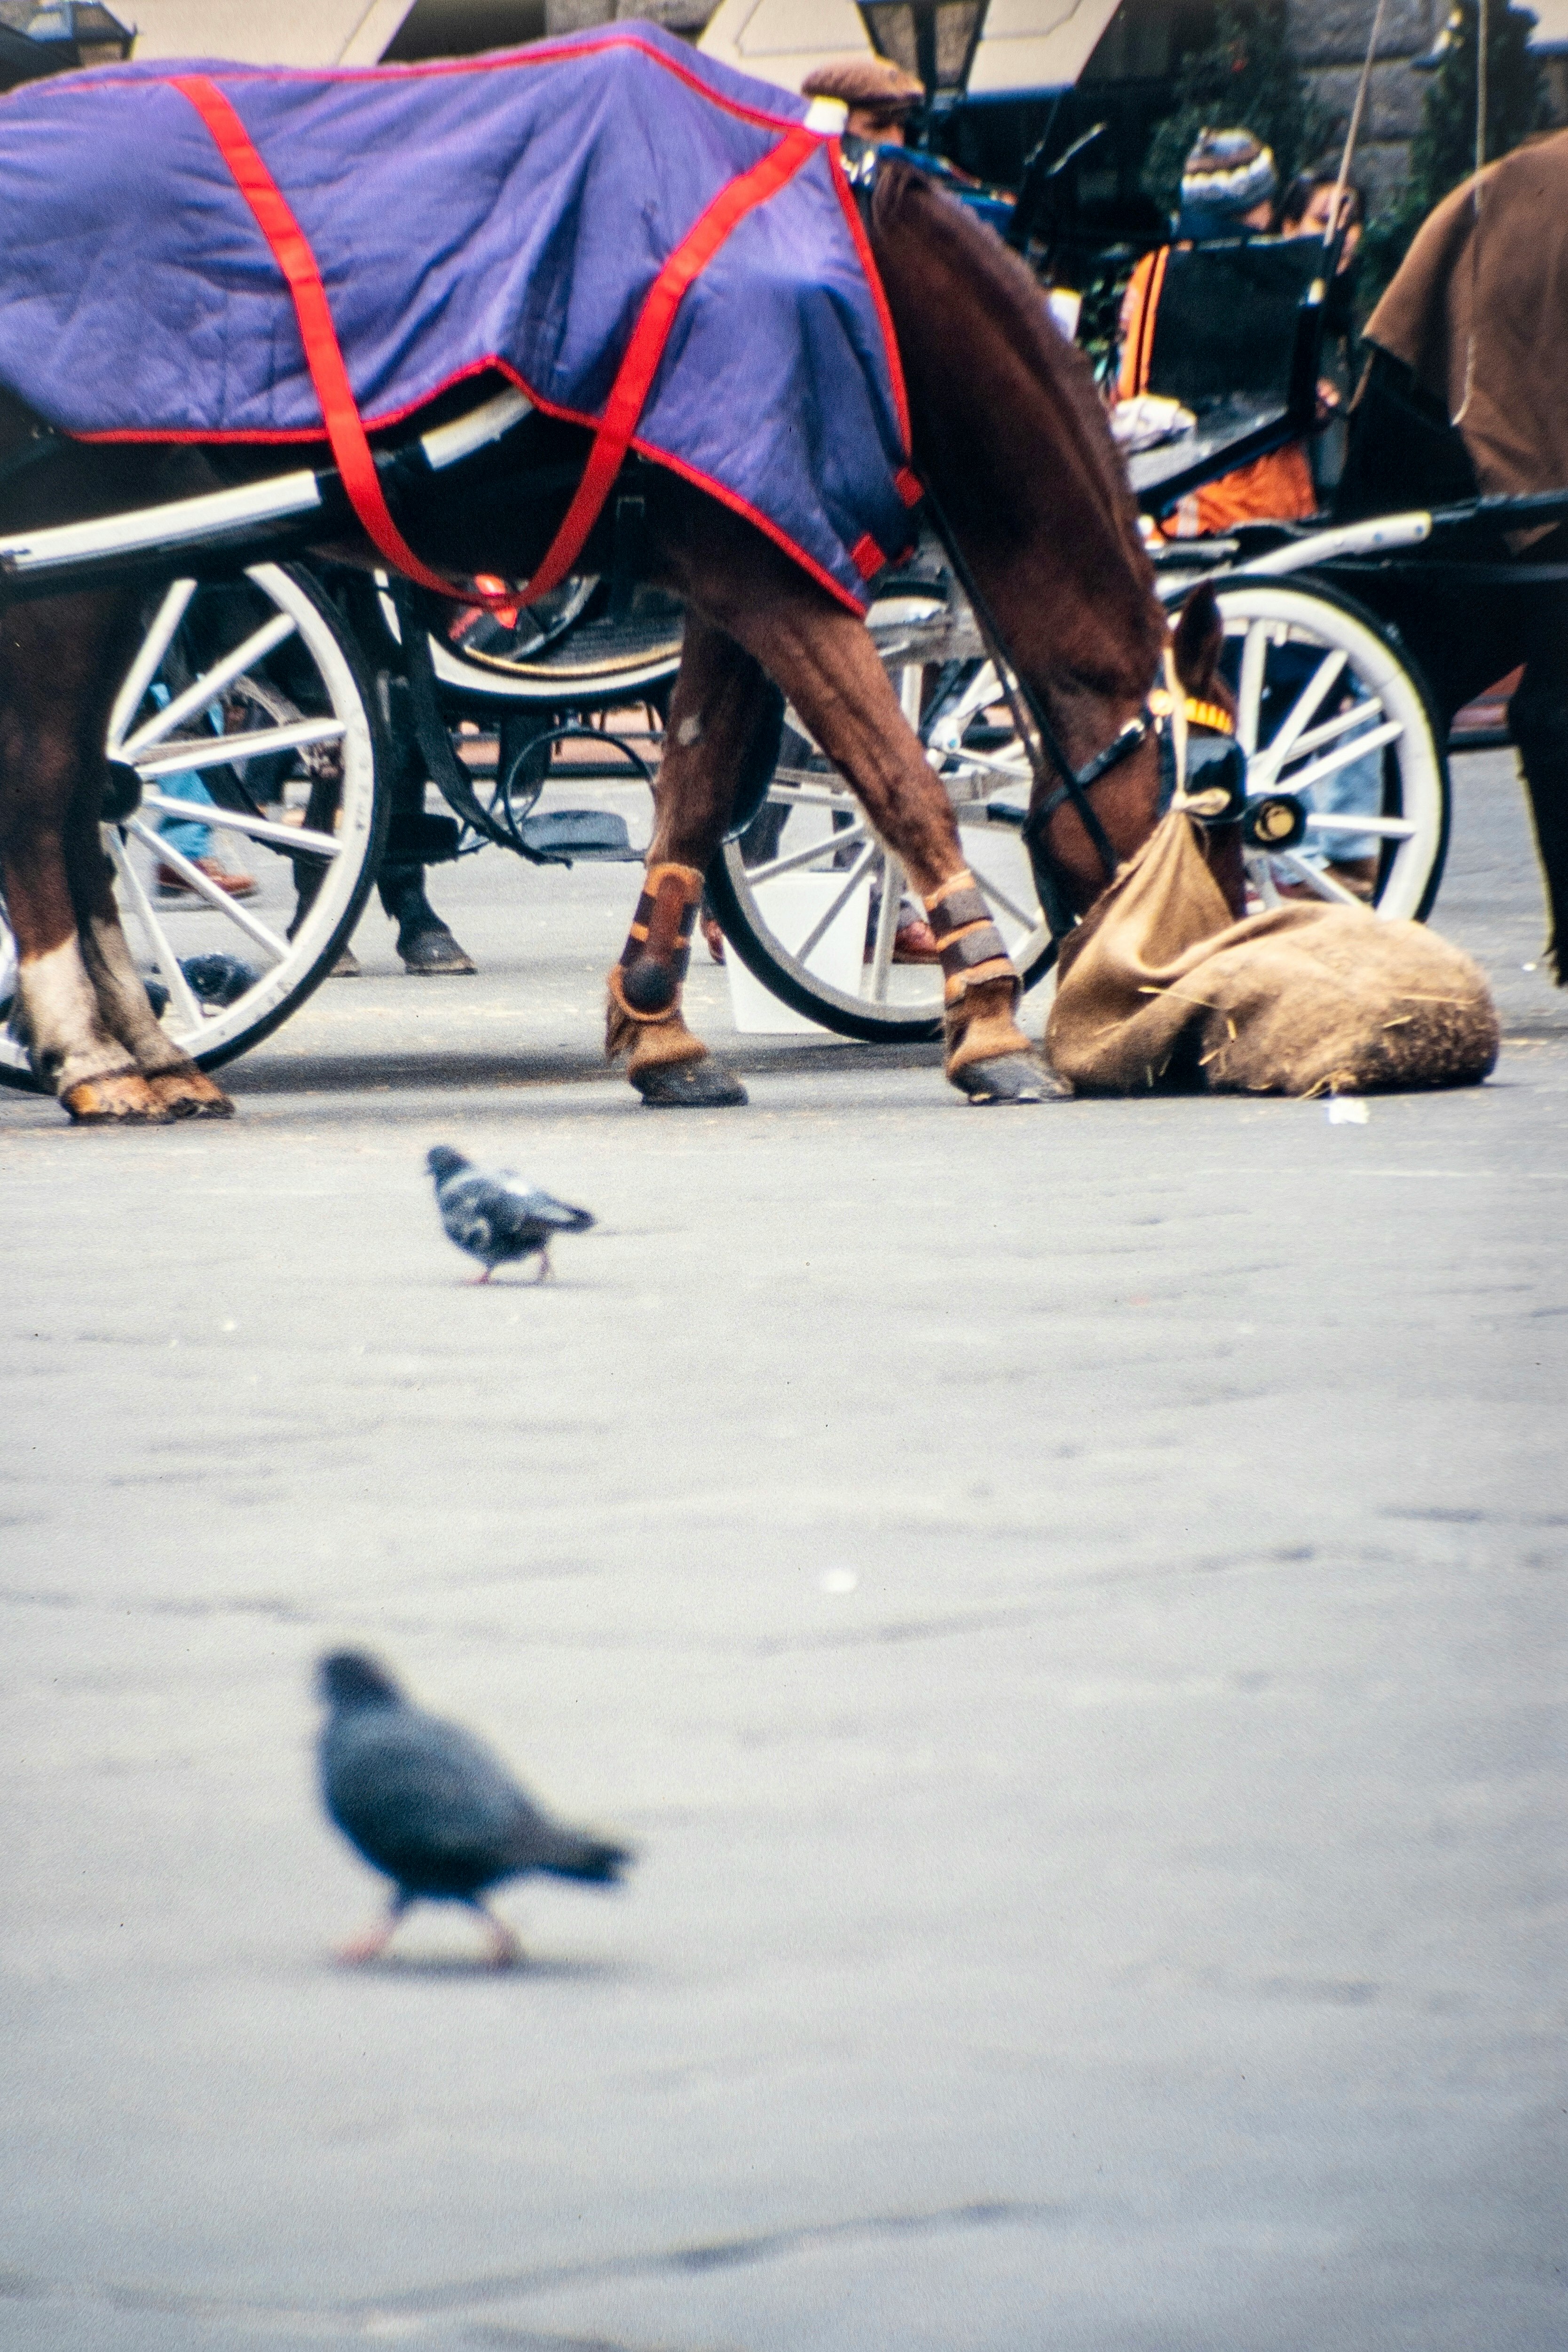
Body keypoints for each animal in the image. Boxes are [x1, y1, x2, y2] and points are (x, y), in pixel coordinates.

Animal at [0, 156, 1222, 1119]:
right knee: (50, 785)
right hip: (77, 571)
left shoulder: (737, 577)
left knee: (80, 799)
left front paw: (655, 1024)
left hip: (127, 573)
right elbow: (900, 781)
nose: (1187, 1021)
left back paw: (145, 1049)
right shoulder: (784, 580)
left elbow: (694, 782)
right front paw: (992, 1026)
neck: (868, 309)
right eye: (1195, 817)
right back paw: (94, 1051)